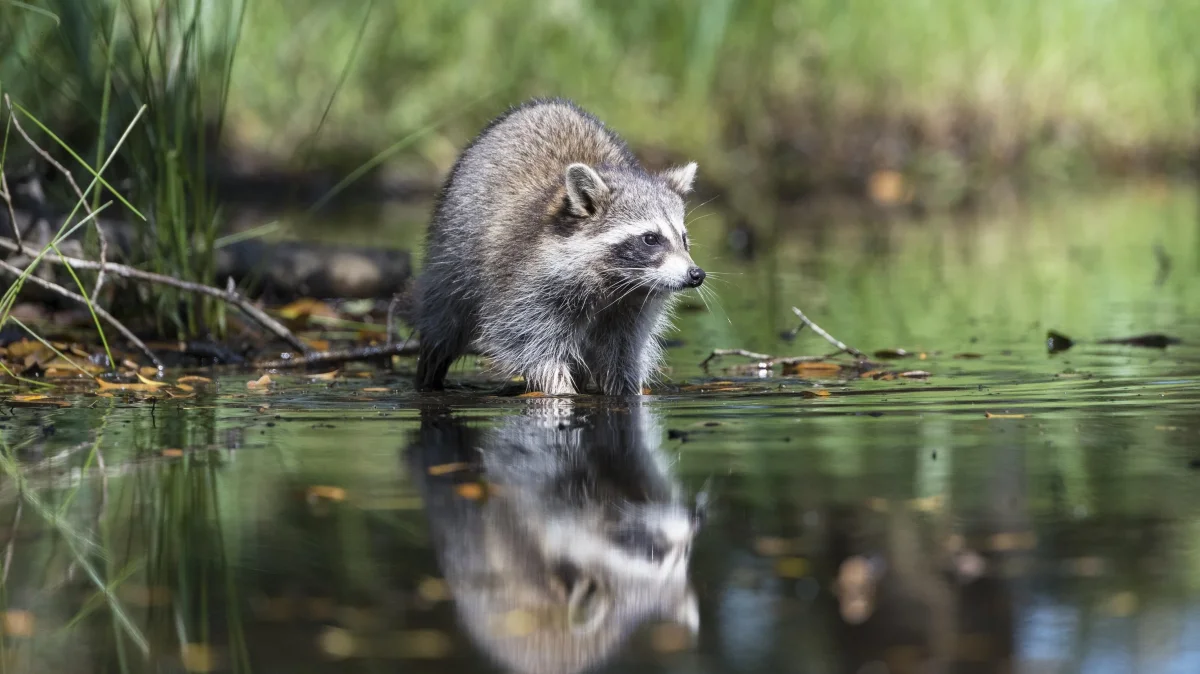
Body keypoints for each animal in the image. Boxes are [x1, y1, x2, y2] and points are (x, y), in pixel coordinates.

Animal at [415, 98, 706, 395]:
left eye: (683, 238)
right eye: (651, 238)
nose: (696, 274)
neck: (614, 285)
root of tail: (545, 104)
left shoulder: (632, 307)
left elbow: (623, 352)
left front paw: (626, 389)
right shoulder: (526, 286)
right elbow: (531, 345)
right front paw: (559, 390)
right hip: (451, 255)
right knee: (444, 321)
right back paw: (429, 370)